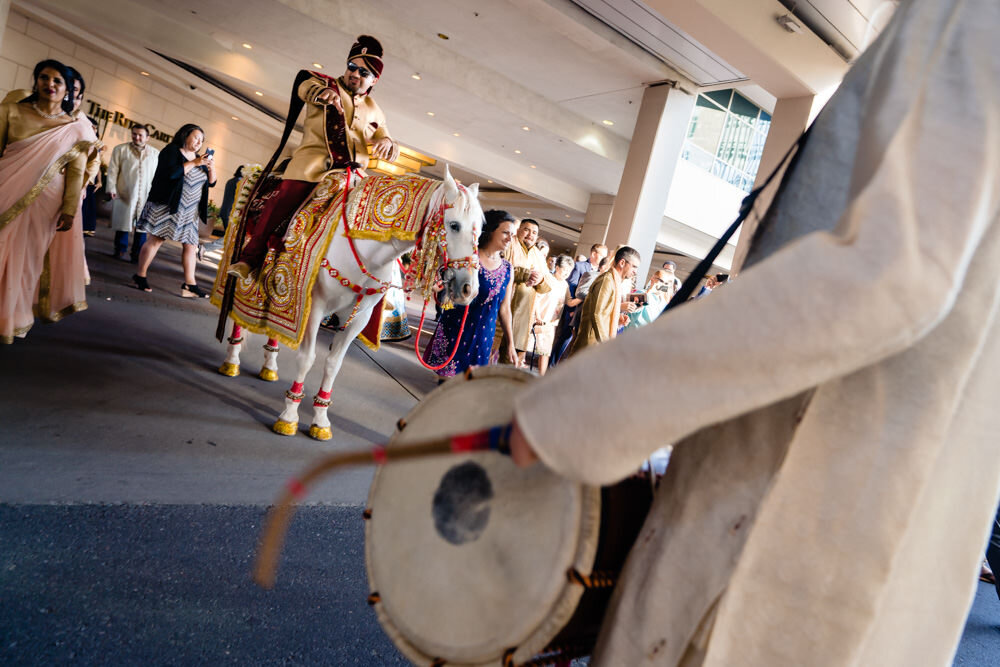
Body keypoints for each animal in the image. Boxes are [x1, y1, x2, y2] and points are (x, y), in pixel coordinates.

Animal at [219, 167, 484, 438]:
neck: (365, 250)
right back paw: (232, 360)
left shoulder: (358, 318)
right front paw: (289, 415)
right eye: (454, 225)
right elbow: (307, 358)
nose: (469, 289)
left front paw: (320, 419)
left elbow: (334, 364)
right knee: (238, 314)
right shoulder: (315, 307)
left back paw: (269, 366)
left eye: (480, 230)